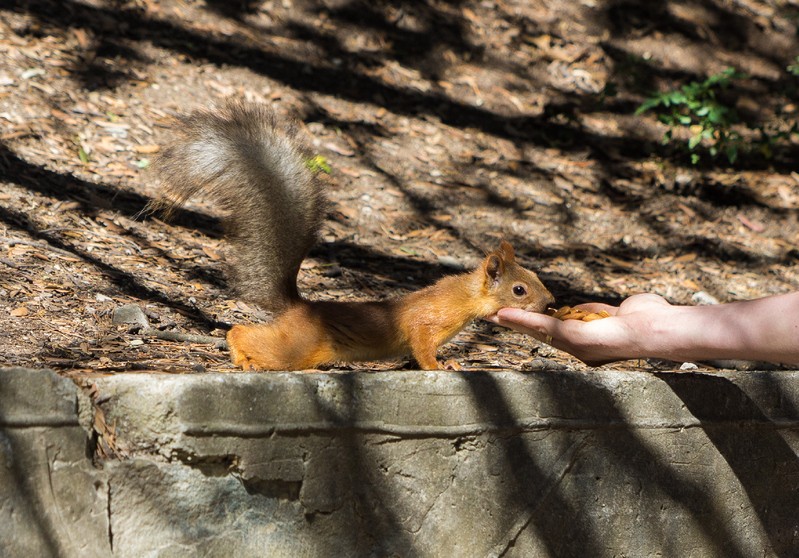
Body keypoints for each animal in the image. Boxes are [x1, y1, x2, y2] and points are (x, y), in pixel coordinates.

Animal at [155, 100, 556, 372]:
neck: (464, 299)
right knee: (244, 333)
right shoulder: (424, 325)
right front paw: (439, 367)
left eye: (535, 277)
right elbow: (422, 348)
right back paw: (242, 356)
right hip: (299, 346)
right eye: (519, 290)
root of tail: (301, 309)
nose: (550, 303)